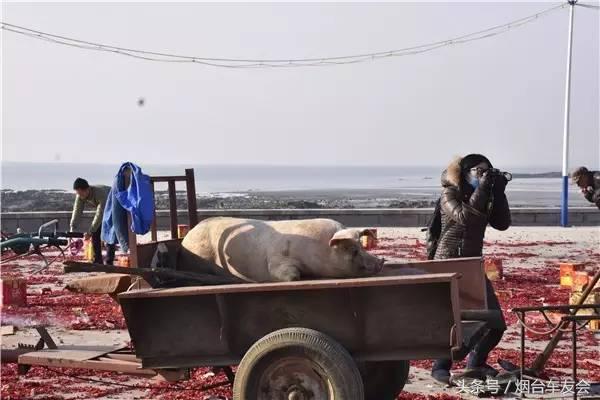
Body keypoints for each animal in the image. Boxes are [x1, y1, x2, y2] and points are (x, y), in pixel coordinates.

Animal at [178, 217, 384, 282]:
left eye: (361, 245)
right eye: (352, 249)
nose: (381, 262)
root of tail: (187, 238)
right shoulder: (277, 259)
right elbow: (289, 275)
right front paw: (297, 277)